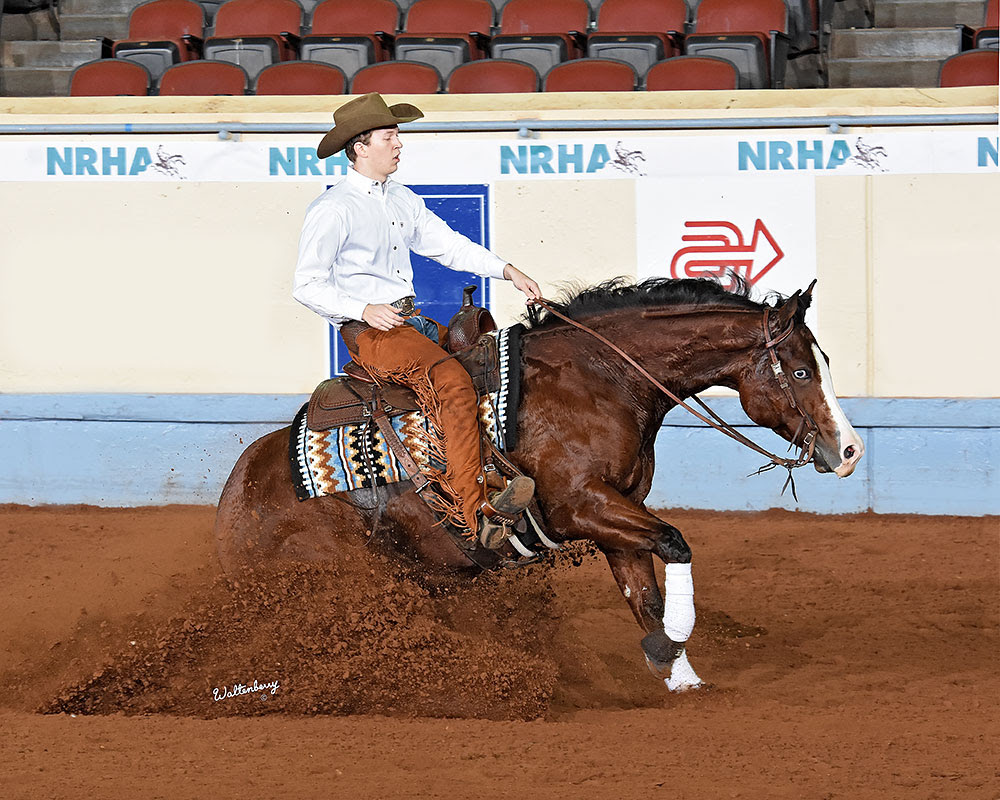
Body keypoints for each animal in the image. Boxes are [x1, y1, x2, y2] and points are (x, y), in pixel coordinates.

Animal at [215, 277, 864, 692]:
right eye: (800, 371)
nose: (850, 451)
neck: (601, 380)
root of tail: (237, 500)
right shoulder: (580, 504)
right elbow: (676, 543)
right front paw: (671, 647)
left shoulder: (615, 510)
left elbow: (645, 593)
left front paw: (679, 674)